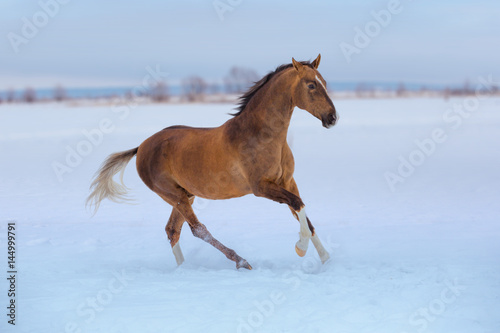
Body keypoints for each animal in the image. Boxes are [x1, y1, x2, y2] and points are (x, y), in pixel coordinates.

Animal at [88, 53, 338, 268]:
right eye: (311, 85)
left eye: (324, 81)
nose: (332, 118)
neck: (260, 136)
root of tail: (141, 147)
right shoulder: (261, 188)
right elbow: (298, 205)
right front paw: (301, 248)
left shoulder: (287, 181)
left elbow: (304, 215)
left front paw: (325, 259)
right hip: (174, 196)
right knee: (197, 229)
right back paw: (241, 261)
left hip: (185, 195)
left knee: (172, 230)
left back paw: (184, 269)